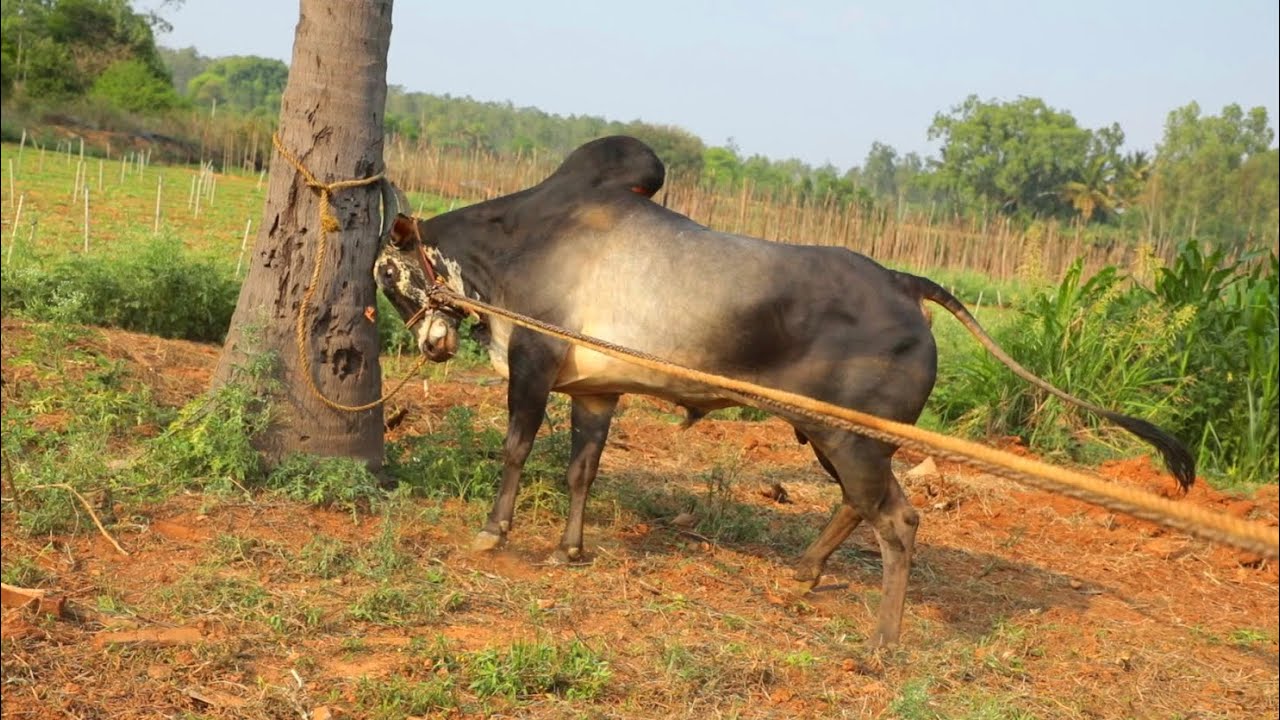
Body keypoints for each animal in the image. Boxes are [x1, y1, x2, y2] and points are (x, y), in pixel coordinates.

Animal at [374, 136, 1194, 648]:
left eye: (388, 272)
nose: (430, 344)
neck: (521, 238)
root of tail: (905, 282)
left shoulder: (535, 366)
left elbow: (515, 451)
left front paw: (495, 533)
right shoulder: (595, 391)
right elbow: (582, 470)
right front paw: (569, 551)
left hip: (851, 439)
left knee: (899, 523)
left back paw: (881, 643)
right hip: (840, 439)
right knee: (859, 507)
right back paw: (805, 574)